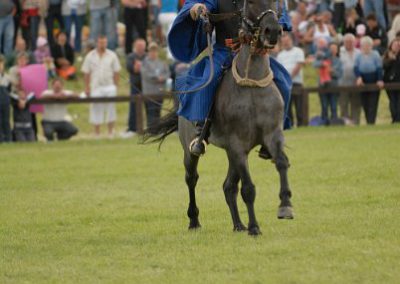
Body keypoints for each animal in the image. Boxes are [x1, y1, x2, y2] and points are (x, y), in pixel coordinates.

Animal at [145, 0, 294, 235]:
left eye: (276, 3)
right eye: (251, 3)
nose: (272, 31)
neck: (250, 84)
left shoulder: (272, 136)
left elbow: (281, 162)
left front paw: (285, 205)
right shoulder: (237, 144)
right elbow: (248, 189)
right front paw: (254, 228)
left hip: (232, 154)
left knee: (228, 186)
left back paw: (238, 225)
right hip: (192, 149)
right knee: (192, 178)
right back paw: (194, 221)